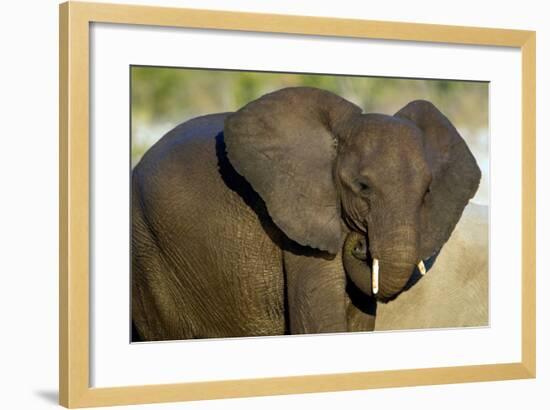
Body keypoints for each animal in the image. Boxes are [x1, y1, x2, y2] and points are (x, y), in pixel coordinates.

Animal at [130, 85, 484, 342]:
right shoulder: (297, 226)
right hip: (148, 252)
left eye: (426, 193)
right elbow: (320, 321)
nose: (360, 243)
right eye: (363, 186)